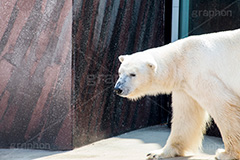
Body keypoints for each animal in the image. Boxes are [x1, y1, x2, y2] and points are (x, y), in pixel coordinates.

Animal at [113, 29, 240, 159]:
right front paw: (157, 153)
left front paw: (226, 154)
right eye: (120, 72)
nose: (118, 89)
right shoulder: (184, 86)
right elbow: (186, 114)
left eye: (133, 74)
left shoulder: (201, 74)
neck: (181, 58)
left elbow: (224, 106)